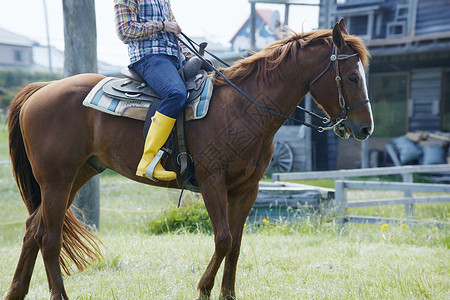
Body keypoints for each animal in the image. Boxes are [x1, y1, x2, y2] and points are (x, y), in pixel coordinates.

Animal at [4, 19, 372, 298]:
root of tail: (40, 89)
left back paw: (16, 291)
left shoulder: (246, 189)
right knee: (49, 237)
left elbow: (236, 244)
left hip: (77, 176)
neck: (244, 108)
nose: (365, 128)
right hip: (57, 180)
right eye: (352, 77)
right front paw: (204, 288)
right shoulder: (212, 182)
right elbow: (223, 239)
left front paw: (227, 294)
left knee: (33, 228)